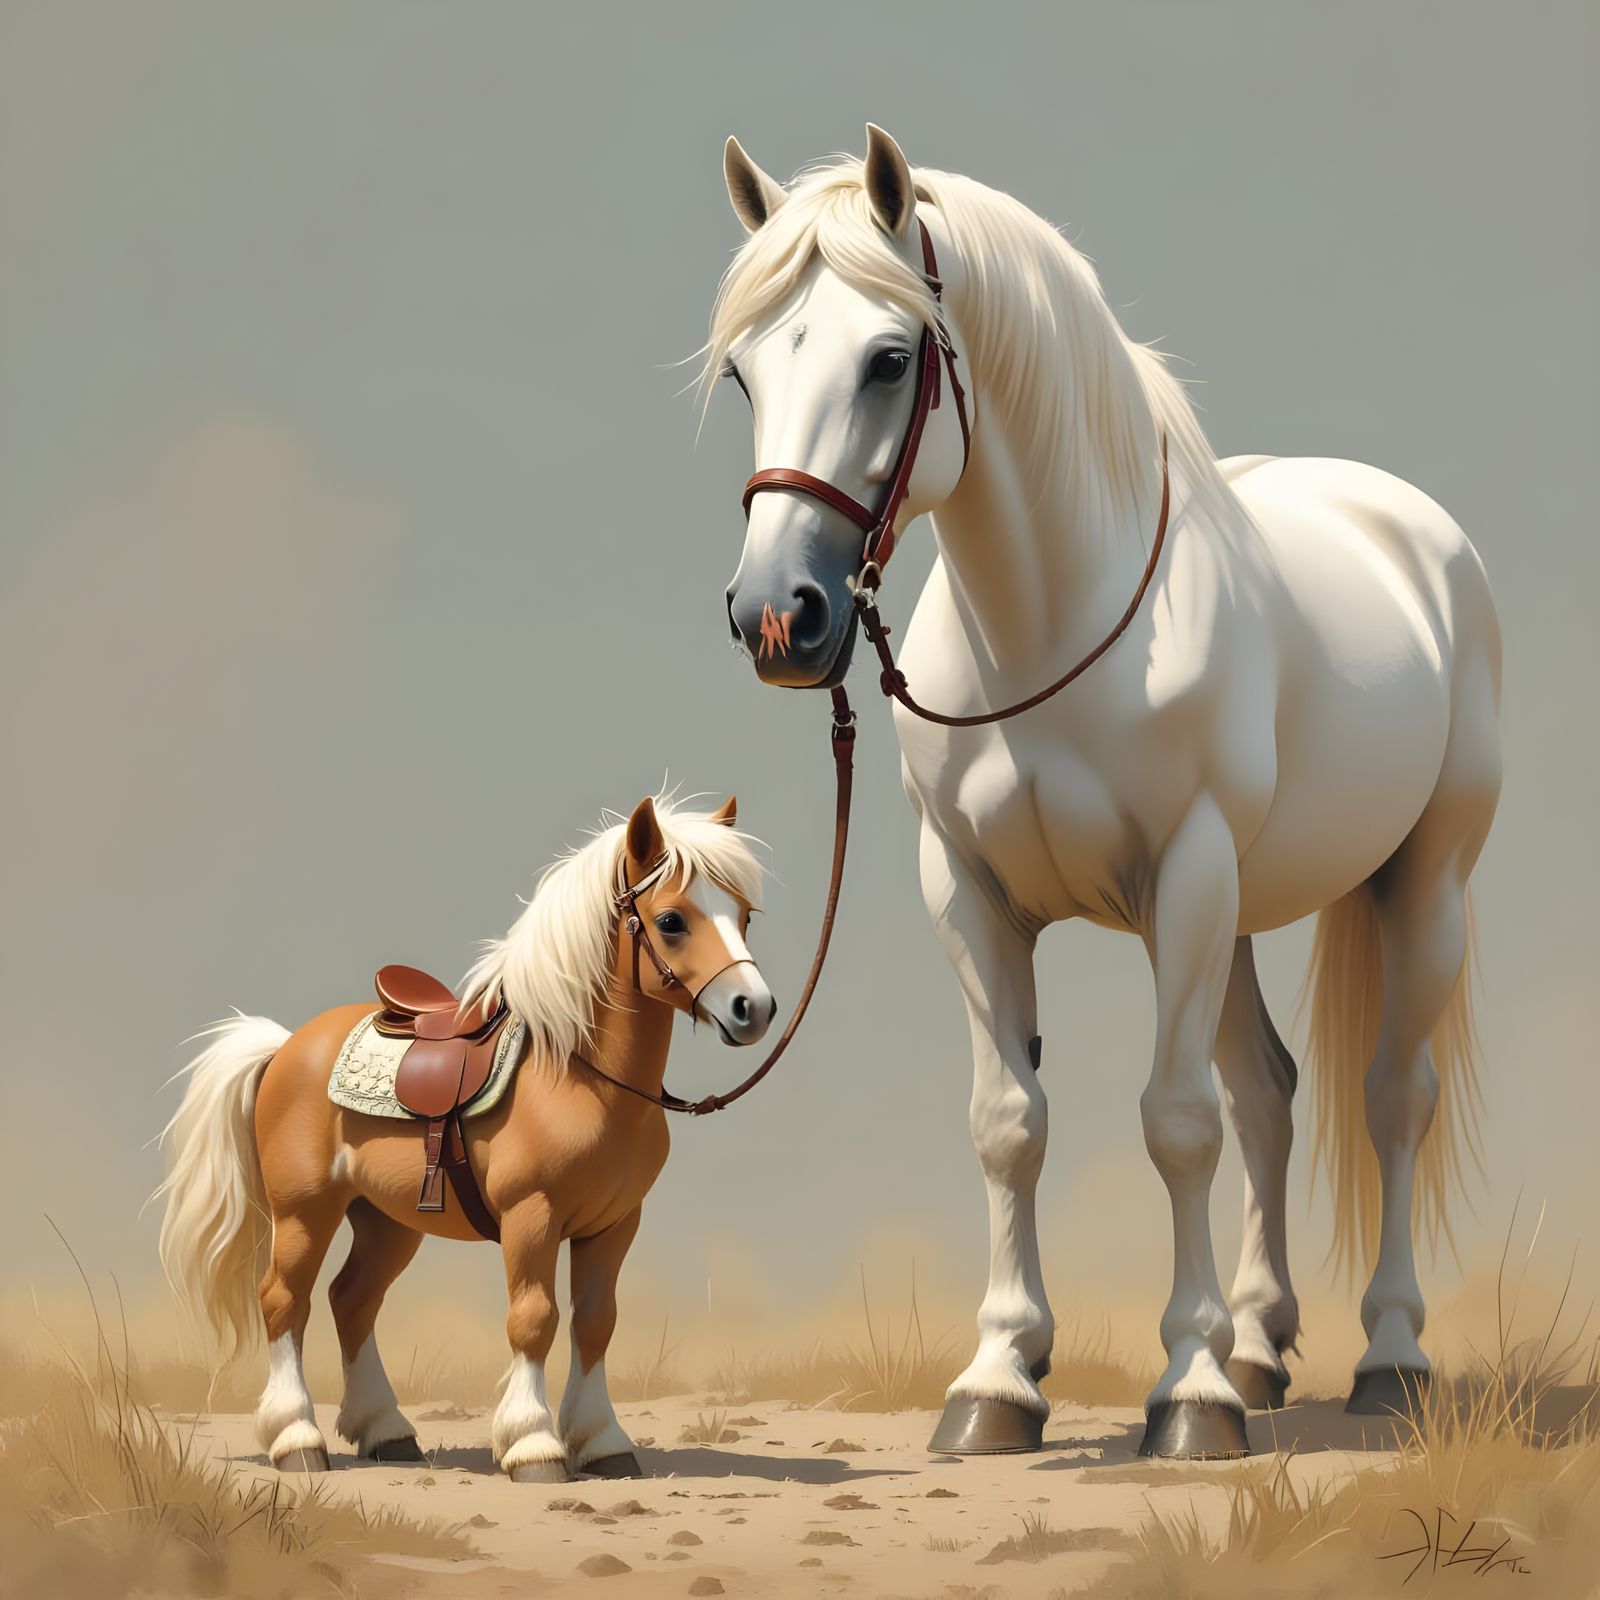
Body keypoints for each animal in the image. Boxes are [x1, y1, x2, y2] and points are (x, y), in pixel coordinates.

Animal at [156, 794, 771, 1481]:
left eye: (744, 916)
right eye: (670, 920)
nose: (754, 1009)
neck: (576, 1075)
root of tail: (287, 1046)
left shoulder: (613, 1224)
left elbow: (595, 1322)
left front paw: (603, 1442)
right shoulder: (532, 1217)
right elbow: (534, 1319)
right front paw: (533, 1446)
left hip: (386, 1220)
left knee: (352, 1300)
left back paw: (387, 1431)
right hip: (304, 1211)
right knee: (284, 1300)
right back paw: (297, 1441)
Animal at [708, 126, 1501, 1459]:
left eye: (889, 358)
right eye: (742, 373)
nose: (779, 617)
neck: (1052, 630)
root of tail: (1411, 528)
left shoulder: (1184, 877)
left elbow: (1173, 1121)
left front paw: (1186, 1396)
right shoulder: (970, 894)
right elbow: (1009, 1121)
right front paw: (997, 1382)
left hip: (1417, 883)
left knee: (1391, 1097)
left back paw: (1386, 1359)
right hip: (1238, 916)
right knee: (1269, 1094)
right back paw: (1259, 1346)